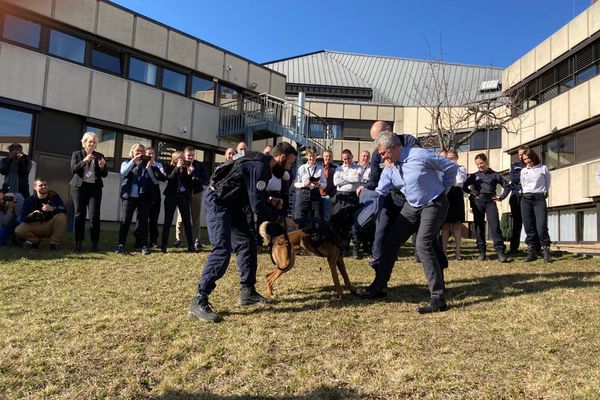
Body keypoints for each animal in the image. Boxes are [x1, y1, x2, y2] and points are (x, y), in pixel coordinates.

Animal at [190, 142, 298, 324]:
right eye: (290, 162)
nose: (289, 170)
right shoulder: (257, 174)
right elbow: (257, 202)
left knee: (247, 247)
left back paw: (250, 295)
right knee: (222, 253)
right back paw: (201, 306)